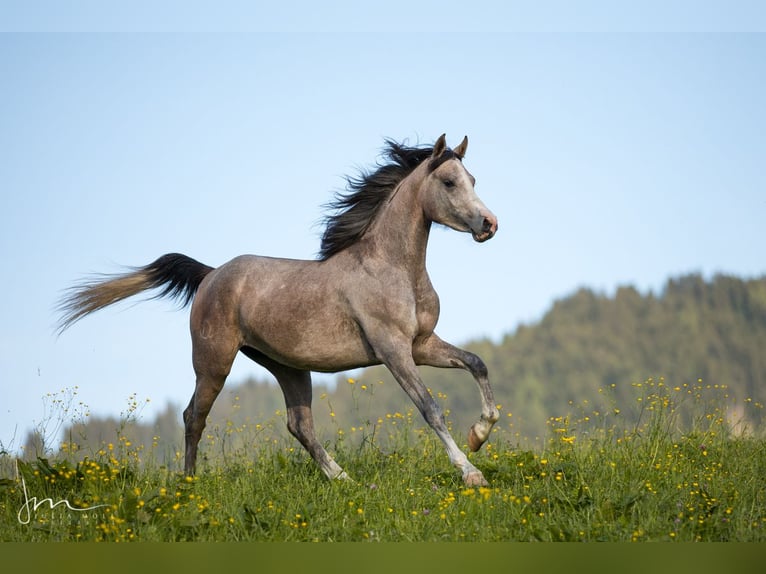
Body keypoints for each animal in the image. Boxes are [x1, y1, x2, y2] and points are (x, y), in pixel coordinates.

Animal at [61, 134, 504, 486]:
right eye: (448, 181)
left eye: (473, 180)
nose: (489, 224)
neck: (393, 268)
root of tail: (210, 275)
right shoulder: (393, 350)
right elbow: (430, 408)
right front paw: (472, 473)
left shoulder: (422, 344)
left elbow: (477, 363)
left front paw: (479, 435)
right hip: (213, 363)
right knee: (193, 417)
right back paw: (189, 485)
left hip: (287, 366)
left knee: (299, 425)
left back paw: (345, 480)